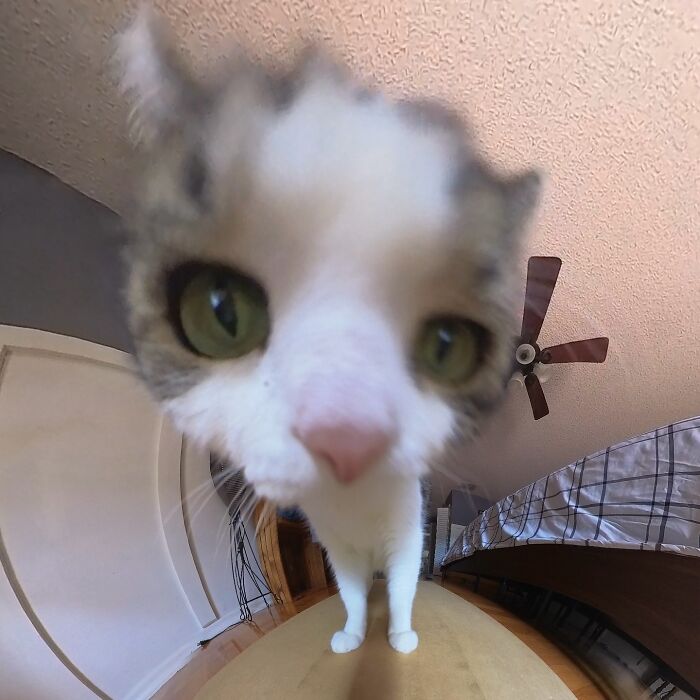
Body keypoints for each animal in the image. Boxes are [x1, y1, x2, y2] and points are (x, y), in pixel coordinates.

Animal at [116, 8, 540, 656]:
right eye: (222, 310)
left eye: (446, 345)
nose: (346, 435)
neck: (356, 511)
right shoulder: (335, 548)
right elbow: (350, 593)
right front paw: (352, 634)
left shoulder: (406, 538)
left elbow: (403, 587)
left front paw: (400, 636)